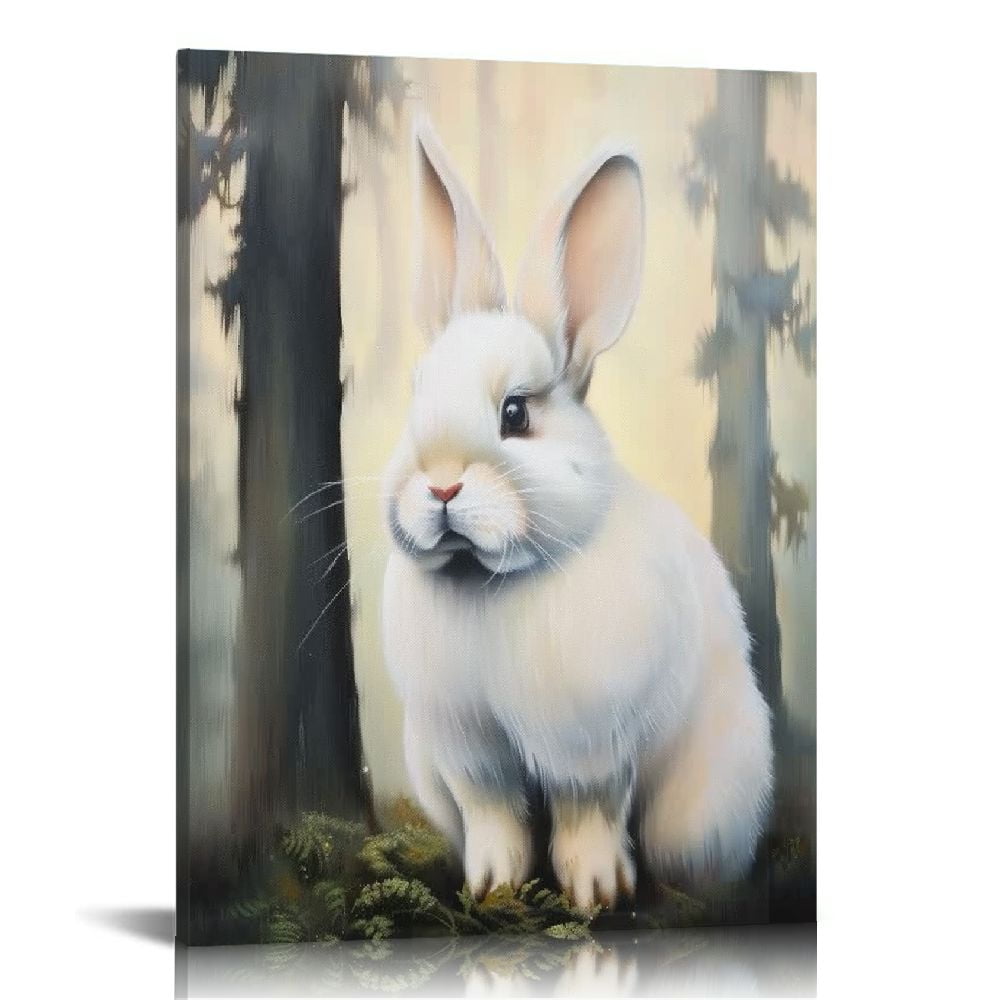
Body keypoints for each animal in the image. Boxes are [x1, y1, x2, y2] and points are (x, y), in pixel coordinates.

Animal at [380, 118, 773, 910]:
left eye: (516, 413)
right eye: (417, 395)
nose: (440, 486)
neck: (490, 581)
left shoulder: (588, 744)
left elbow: (585, 808)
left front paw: (595, 891)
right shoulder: (468, 751)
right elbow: (494, 813)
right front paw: (491, 887)